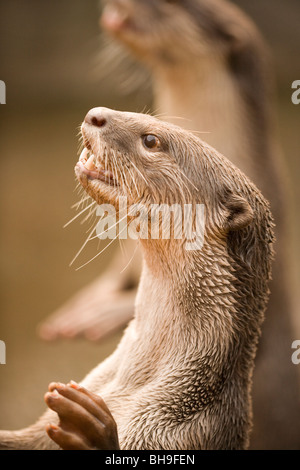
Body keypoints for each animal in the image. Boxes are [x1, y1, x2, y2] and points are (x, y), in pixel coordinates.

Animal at [0, 108, 274, 450]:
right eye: (146, 117)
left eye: (151, 140)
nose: (96, 114)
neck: (133, 382)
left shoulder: (179, 429)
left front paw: (91, 428)